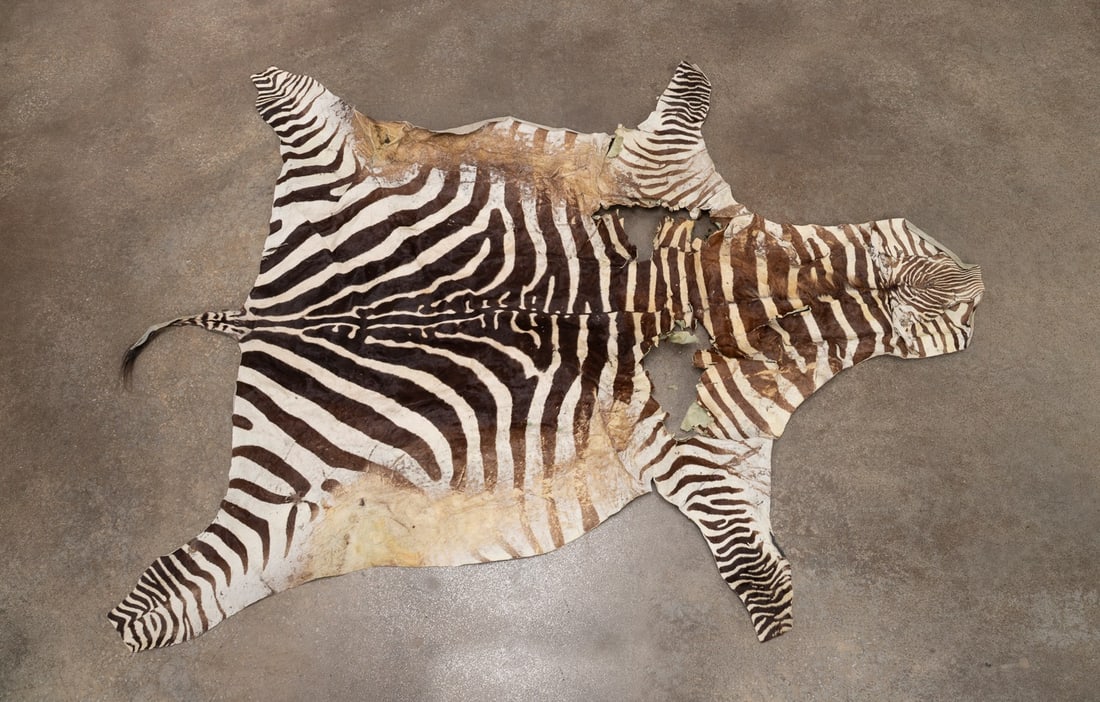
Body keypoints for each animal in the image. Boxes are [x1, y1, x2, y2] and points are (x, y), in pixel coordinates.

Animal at [109, 63, 983, 650]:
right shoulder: (690, 446)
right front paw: (771, 603)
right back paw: (136, 619)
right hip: (283, 505)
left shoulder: (706, 448)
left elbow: (742, 534)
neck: (687, 296)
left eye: (919, 255)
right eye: (940, 315)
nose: (967, 287)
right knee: (191, 586)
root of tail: (270, 312)